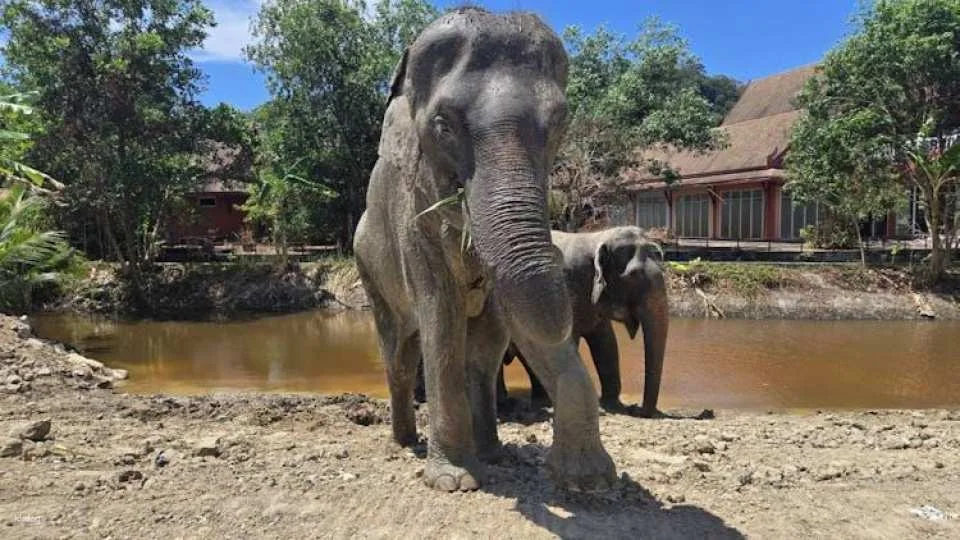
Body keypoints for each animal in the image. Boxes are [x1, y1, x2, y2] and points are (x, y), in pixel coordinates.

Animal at [353, 8, 616, 493]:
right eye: (443, 125)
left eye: (559, 123)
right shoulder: (413, 221)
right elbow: (442, 316)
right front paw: (453, 481)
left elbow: (503, 324)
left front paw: (588, 481)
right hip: (369, 266)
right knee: (399, 353)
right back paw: (404, 443)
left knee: (479, 353)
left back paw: (490, 451)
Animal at [415, 226, 668, 418]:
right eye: (633, 276)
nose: (639, 410)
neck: (594, 237)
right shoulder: (563, 289)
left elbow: (606, 344)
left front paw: (613, 405)